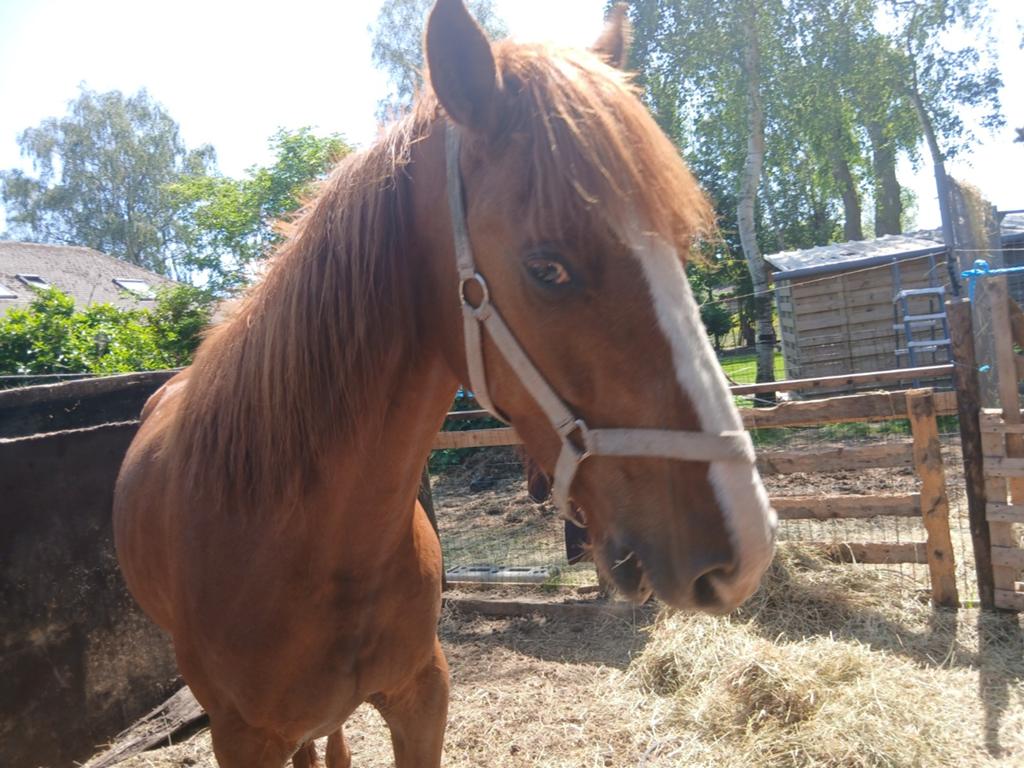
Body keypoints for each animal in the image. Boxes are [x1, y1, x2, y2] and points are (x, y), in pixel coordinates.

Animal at [113, 2, 776, 766]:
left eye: (679, 243)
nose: (747, 548)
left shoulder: (423, 695)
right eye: (546, 267)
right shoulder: (243, 737)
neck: (303, 541)